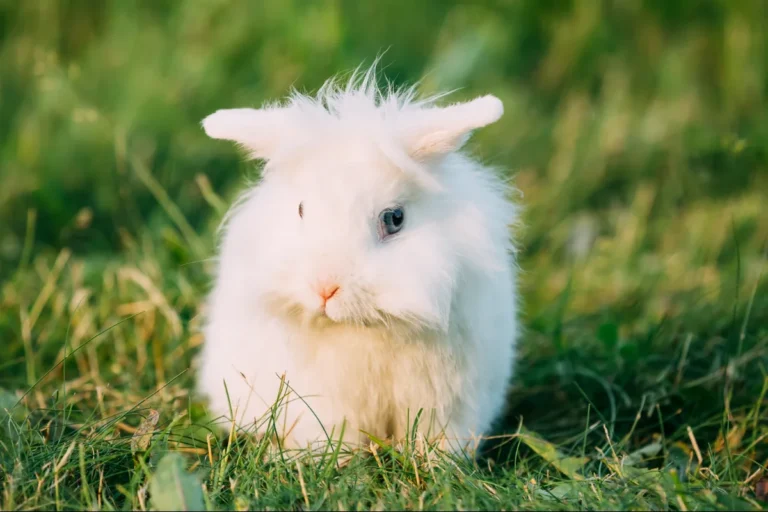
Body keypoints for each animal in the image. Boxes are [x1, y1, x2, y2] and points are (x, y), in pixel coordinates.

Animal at [196, 66, 520, 456]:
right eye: (301, 209)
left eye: (394, 219)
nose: (324, 288)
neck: (368, 325)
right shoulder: (321, 402)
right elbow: (333, 435)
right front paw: (333, 462)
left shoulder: (448, 402)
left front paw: (436, 465)